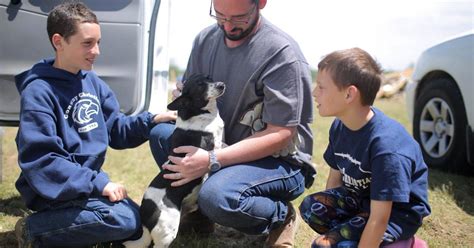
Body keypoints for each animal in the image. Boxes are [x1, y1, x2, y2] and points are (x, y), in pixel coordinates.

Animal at [124, 73, 224, 248]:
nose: (221, 85)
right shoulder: (213, 145)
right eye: (200, 85)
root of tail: (145, 220)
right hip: (167, 232)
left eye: (209, 77)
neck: (198, 113)